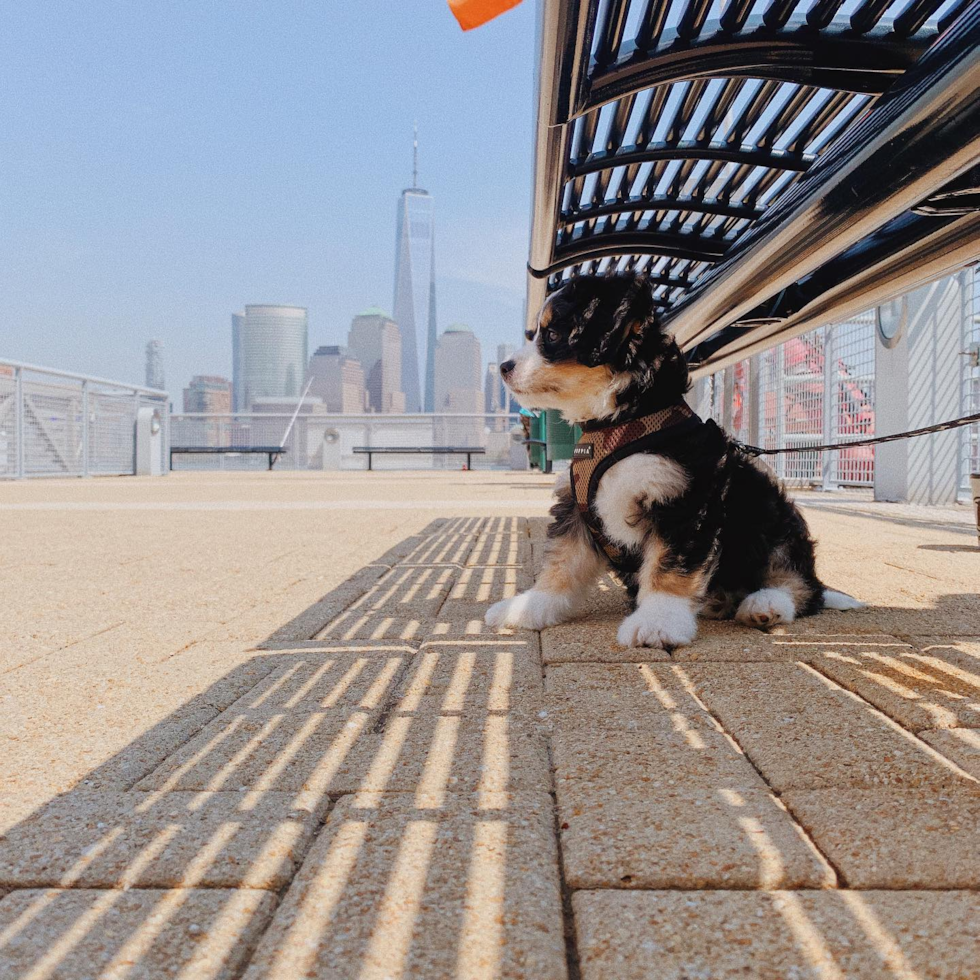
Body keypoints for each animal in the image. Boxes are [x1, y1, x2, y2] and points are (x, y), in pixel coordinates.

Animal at [486, 272, 860, 648]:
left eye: (552, 335)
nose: (503, 368)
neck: (620, 423)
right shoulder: (576, 509)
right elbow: (562, 562)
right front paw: (528, 607)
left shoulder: (683, 501)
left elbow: (668, 567)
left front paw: (657, 622)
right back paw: (719, 600)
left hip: (778, 524)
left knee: (799, 583)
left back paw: (764, 604)